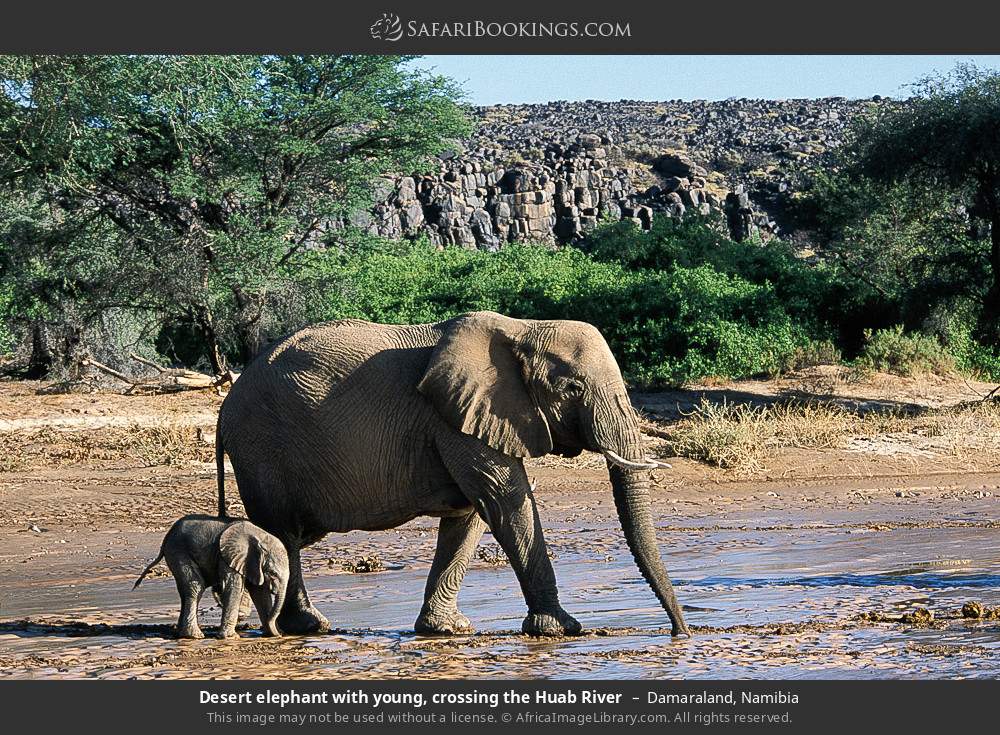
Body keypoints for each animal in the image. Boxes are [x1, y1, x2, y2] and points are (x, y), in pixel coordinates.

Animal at [134, 514, 289, 639]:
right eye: (272, 573)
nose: (281, 634)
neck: (261, 537)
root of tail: (166, 538)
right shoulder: (228, 557)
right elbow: (233, 587)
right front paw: (231, 637)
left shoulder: (250, 563)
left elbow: (259, 593)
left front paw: (273, 634)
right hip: (178, 551)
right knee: (196, 586)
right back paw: (195, 636)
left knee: (185, 591)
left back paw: (181, 634)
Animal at [215, 311, 689, 637]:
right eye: (571, 388)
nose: (679, 633)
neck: (523, 328)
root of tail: (224, 408)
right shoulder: (454, 420)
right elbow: (504, 500)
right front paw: (561, 629)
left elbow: (471, 515)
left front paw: (446, 630)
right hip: (262, 448)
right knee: (282, 532)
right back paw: (310, 626)